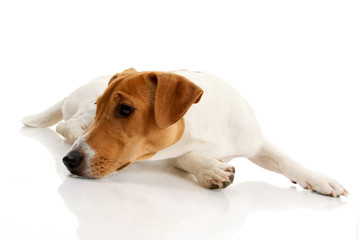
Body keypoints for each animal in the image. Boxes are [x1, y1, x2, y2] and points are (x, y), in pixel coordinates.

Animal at [21, 68, 348, 197]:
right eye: (103, 106)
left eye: (125, 110)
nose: (70, 161)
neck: (200, 129)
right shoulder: (167, 154)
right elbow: (191, 157)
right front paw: (212, 170)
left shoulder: (256, 142)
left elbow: (287, 160)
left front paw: (319, 179)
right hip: (82, 112)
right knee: (66, 124)